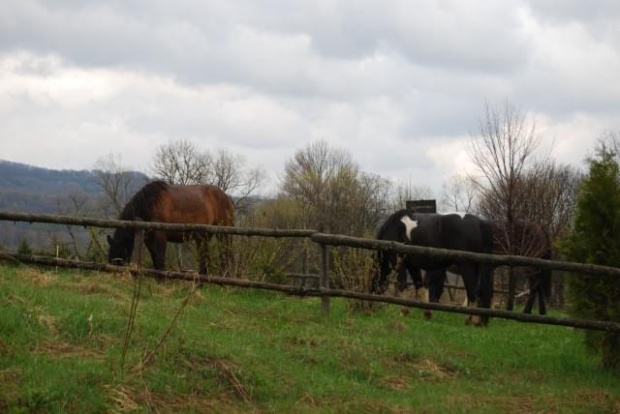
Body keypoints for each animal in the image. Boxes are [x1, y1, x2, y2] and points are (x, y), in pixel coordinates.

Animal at [106, 180, 235, 274]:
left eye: (120, 252)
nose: (114, 272)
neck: (151, 204)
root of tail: (227, 198)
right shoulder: (148, 239)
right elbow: (155, 258)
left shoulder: (161, 235)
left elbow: (160, 258)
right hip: (203, 237)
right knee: (205, 259)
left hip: (223, 234)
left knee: (225, 256)